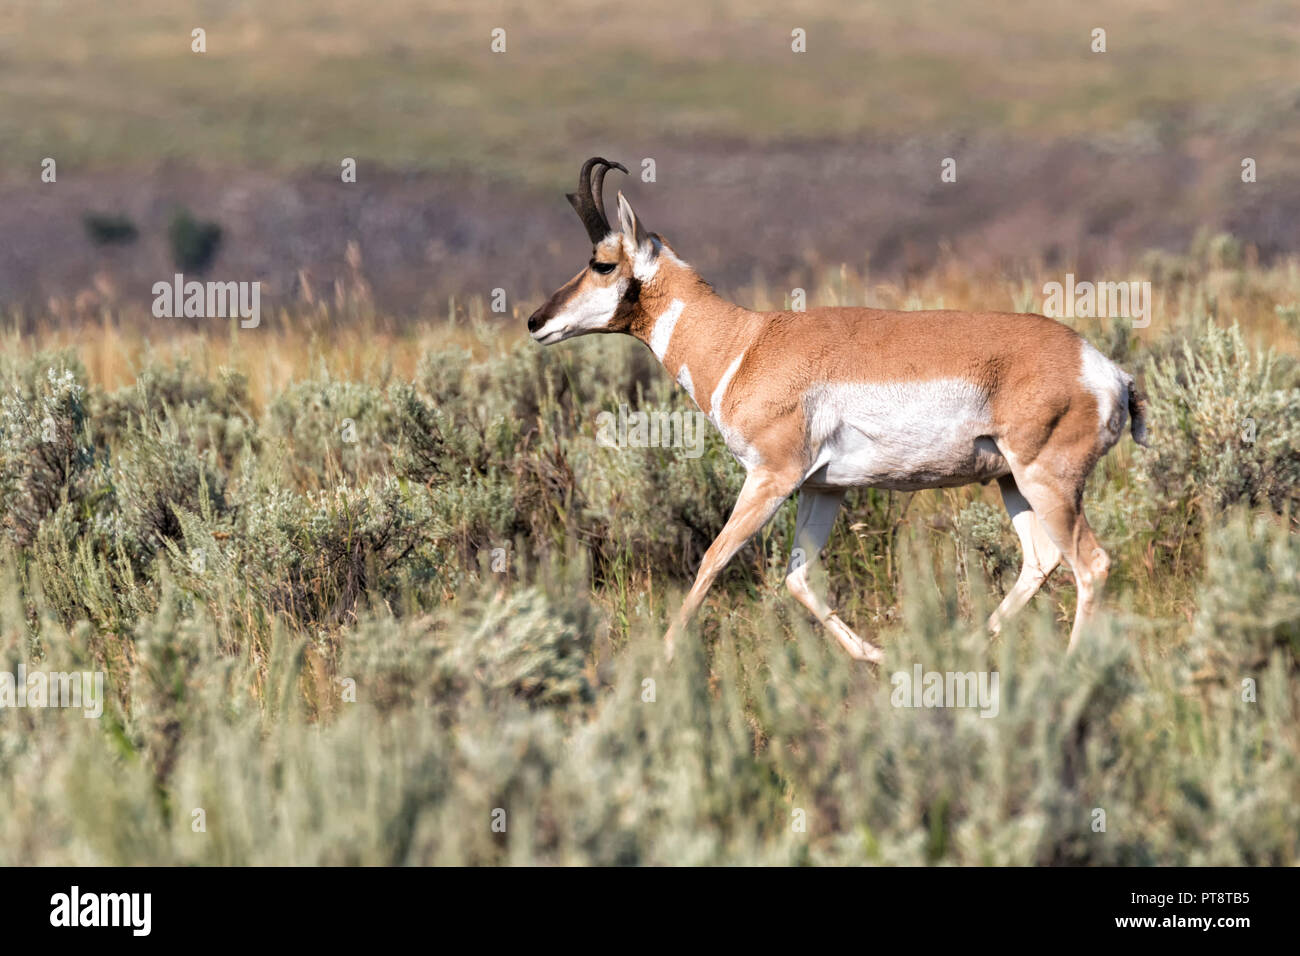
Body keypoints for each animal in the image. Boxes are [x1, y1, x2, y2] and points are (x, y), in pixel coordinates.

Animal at [527, 158, 1149, 665]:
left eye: (602, 263)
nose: (535, 321)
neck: (747, 342)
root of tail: (1104, 369)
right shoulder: (823, 488)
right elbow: (799, 579)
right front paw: (874, 656)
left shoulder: (771, 479)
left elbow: (712, 560)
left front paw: (663, 657)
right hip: (1012, 481)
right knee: (1040, 561)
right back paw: (969, 645)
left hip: (1048, 483)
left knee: (1091, 564)